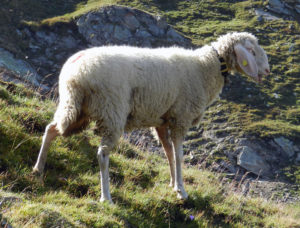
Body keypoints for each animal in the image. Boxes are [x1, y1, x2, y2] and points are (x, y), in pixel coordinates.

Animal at [32, 31, 270, 203]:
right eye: (251, 50)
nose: (267, 71)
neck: (205, 67)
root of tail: (76, 74)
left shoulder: (162, 121)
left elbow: (168, 153)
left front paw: (173, 184)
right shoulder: (181, 118)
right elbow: (179, 155)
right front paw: (182, 190)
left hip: (74, 108)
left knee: (52, 128)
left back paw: (38, 168)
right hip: (112, 111)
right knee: (102, 154)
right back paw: (106, 197)